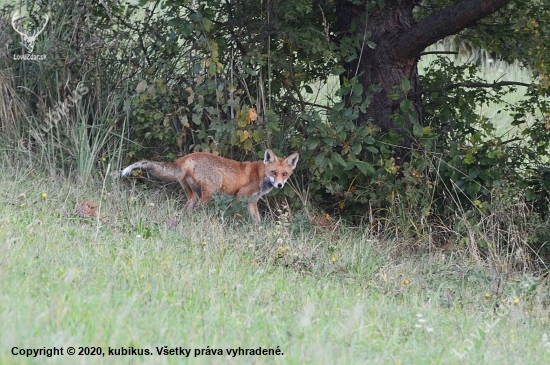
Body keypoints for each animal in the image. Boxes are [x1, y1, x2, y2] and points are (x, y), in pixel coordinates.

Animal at [122, 148, 300, 222]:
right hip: (209, 193)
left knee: (186, 211)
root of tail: (186, 157)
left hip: (193, 196)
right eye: (273, 172)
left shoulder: (252, 202)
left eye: (285, 174)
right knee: (197, 210)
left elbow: (258, 221)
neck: (260, 175)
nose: (279, 185)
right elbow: (238, 215)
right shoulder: (241, 196)